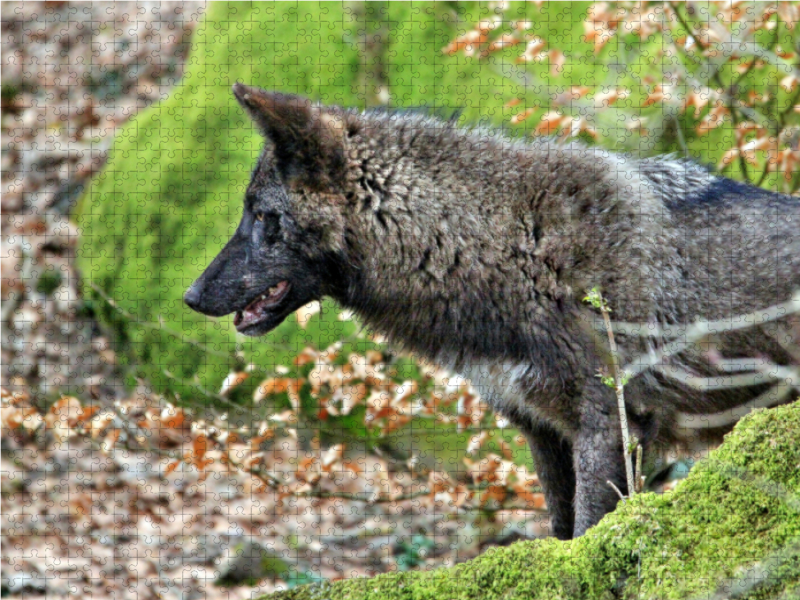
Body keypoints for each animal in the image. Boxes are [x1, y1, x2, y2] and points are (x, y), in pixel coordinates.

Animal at [186, 84, 800, 540]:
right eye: (248, 213)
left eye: (263, 218)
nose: (190, 296)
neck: (507, 245)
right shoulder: (542, 429)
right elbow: (561, 530)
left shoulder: (612, 422)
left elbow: (591, 530)